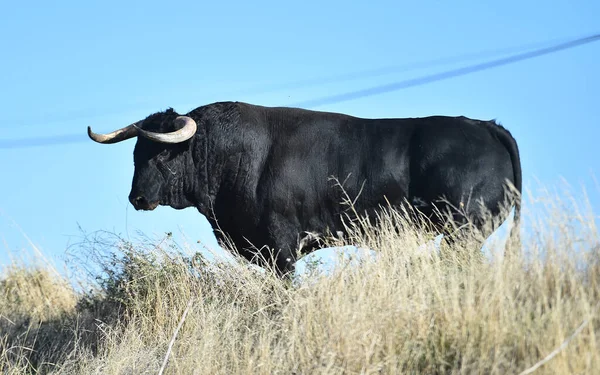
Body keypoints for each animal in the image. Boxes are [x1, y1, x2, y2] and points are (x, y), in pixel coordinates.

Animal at [86, 101, 524, 278]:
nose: (138, 198)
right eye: (136, 155)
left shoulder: (282, 247)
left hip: (462, 232)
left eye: (163, 155)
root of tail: (484, 126)